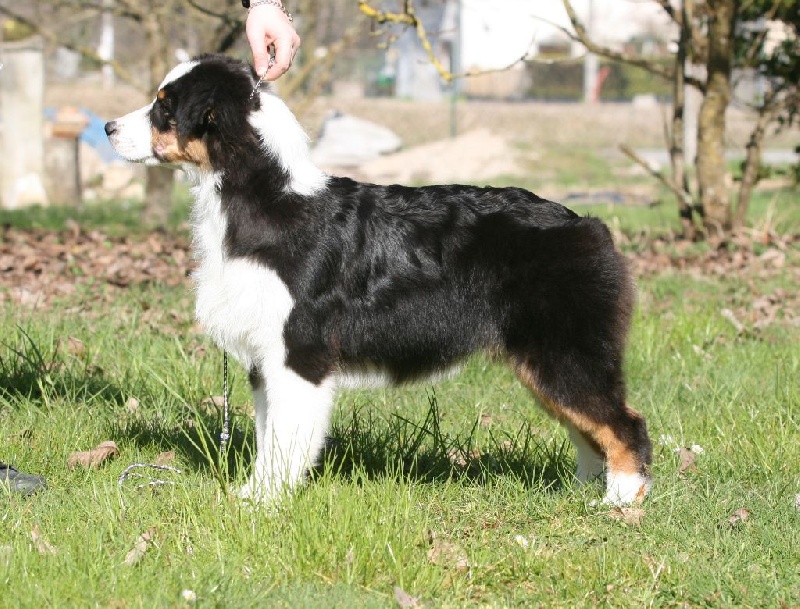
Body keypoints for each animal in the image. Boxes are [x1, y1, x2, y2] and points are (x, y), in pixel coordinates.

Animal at [106, 54, 652, 506]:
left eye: (165, 107)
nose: (108, 126)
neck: (262, 197)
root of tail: (588, 224)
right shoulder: (265, 357)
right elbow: (269, 438)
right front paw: (253, 495)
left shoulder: (298, 352)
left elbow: (286, 439)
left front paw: (265, 504)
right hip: (546, 362)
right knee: (589, 431)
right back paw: (581, 493)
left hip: (566, 351)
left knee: (625, 423)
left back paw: (619, 503)